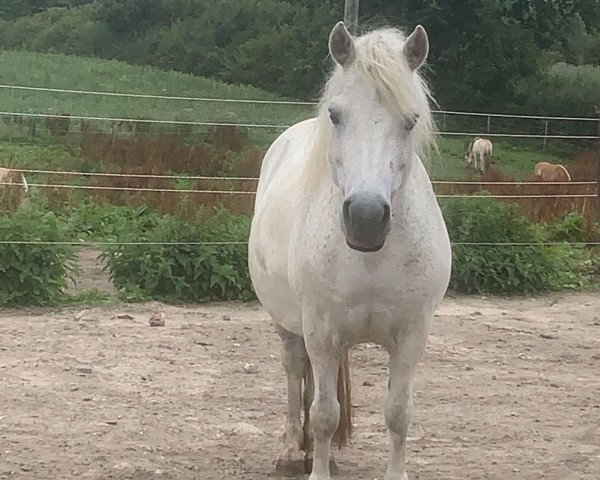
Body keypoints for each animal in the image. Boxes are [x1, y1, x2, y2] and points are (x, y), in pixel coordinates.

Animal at [247, 22, 450, 480]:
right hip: (289, 325)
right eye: (336, 115)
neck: (371, 260)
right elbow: (325, 413)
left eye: (410, 121)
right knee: (295, 375)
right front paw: (316, 467)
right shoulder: (321, 333)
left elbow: (398, 414)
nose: (367, 217)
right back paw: (293, 450)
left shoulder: (412, 336)